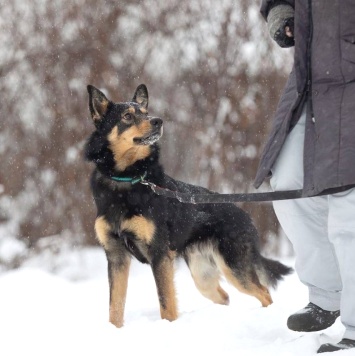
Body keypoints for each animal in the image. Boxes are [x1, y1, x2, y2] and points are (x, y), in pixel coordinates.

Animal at [85, 84, 294, 328]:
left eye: (146, 113)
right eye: (127, 116)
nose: (158, 121)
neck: (127, 179)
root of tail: (245, 215)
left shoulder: (159, 254)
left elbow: (166, 303)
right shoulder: (116, 255)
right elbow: (115, 308)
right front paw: (115, 330)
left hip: (234, 269)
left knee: (264, 292)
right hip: (202, 275)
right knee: (225, 296)